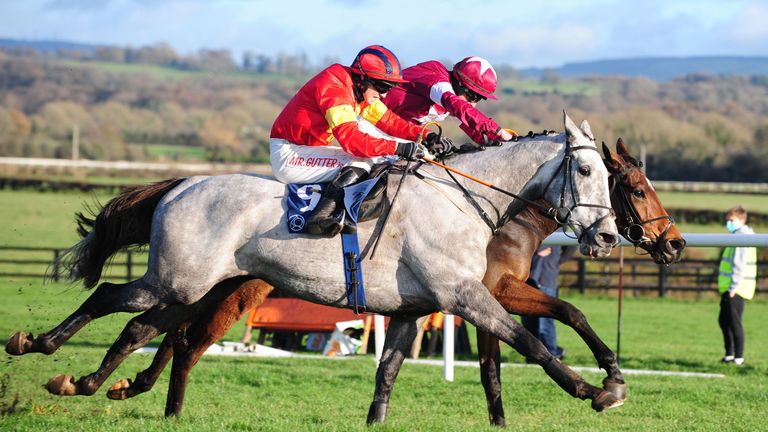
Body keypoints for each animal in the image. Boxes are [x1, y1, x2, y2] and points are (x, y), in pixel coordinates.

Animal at [7, 111, 624, 422]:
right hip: (176, 279)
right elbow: (532, 342)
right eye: (587, 173)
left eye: (612, 177)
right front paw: (596, 389)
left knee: (141, 327)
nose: (608, 235)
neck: (464, 200)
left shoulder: (414, 309)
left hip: (194, 286)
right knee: (112, 298)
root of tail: (181, 184)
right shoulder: (462, 294)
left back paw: (88, 381)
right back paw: (38, 345)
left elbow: (386, 375)